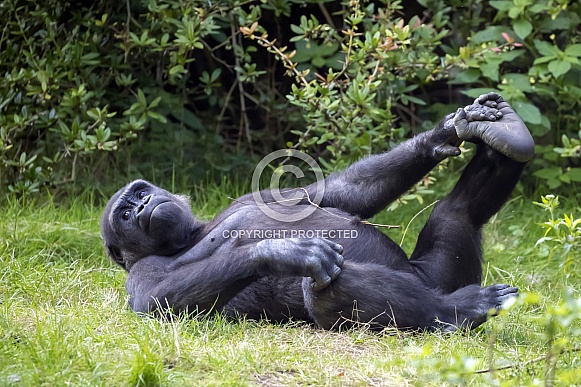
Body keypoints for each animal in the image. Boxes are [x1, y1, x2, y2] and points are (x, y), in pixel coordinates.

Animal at [102, 92, 532, 332]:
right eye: (124, 214)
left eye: (140, 192)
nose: (143, 205)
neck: (192, 232)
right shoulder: (141, 274)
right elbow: (156, 300)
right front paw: (284, 253)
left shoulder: (259, 194)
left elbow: (342, 193)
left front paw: (445, 132)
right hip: (433, 287)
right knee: (324, 286)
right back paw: (458, 311)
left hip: (443, 272)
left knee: (456, 213)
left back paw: (511, 137)